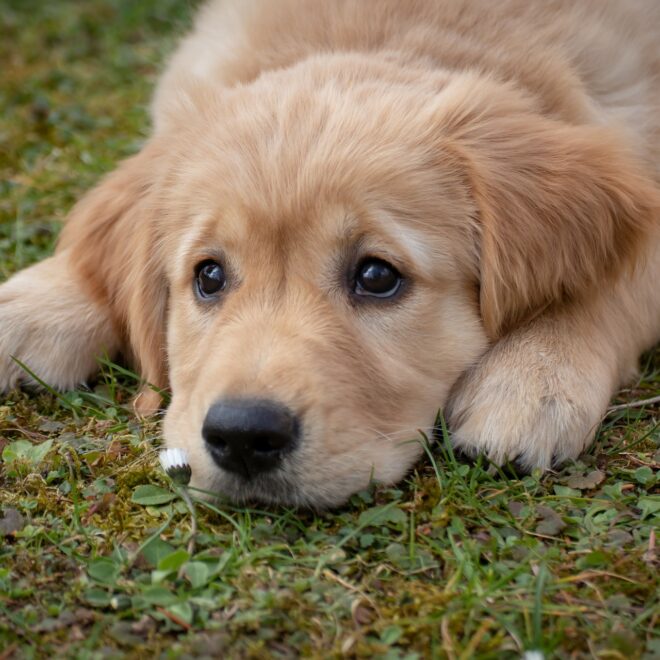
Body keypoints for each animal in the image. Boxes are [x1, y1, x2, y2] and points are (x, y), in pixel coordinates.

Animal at [1, 0, 660, 508]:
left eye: (376, 275)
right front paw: (32, 305)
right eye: (208, 276)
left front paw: (535, 371)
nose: (243, 436)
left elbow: (623, 280)